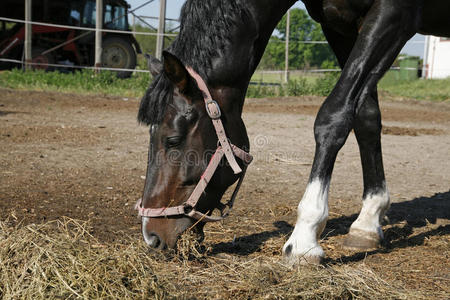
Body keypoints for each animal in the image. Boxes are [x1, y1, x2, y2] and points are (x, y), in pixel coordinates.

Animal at [137, 0, 450, 262]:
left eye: (173, 140)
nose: (151, 237)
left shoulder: (395, 13)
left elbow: (334, 116)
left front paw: (304, 238)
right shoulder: (340, 26)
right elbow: (365, 117)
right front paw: (368, 222)